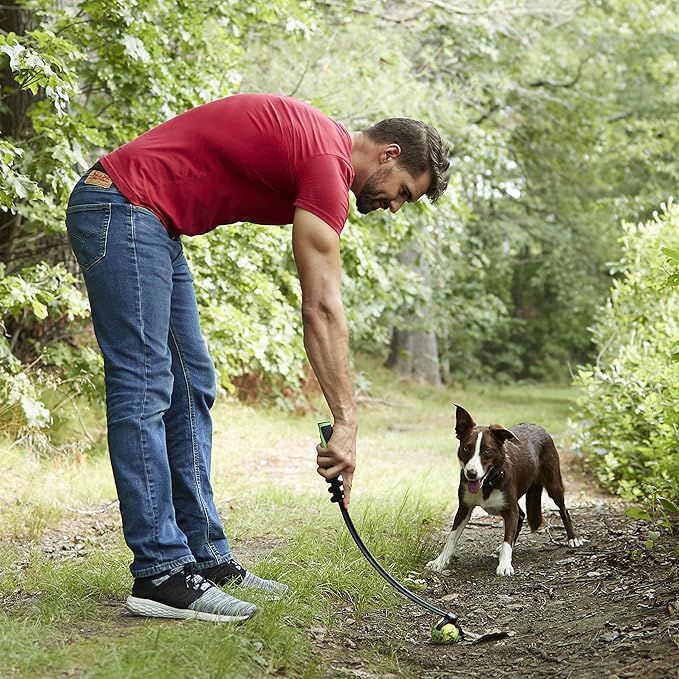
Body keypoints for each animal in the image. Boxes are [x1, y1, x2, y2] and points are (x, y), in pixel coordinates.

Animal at [428, 406, 580, 576]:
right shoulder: (464, 508)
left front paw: (505, 564)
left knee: (563, 509)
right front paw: (440, 561)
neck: (488, 483)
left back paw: (573, 538)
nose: (471, 474)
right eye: (466, 448)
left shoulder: (509, 509)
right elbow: (452, 536)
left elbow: (507, 538)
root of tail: (538, 426)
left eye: (487, 450)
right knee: (521, 514)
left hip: (553, 483)